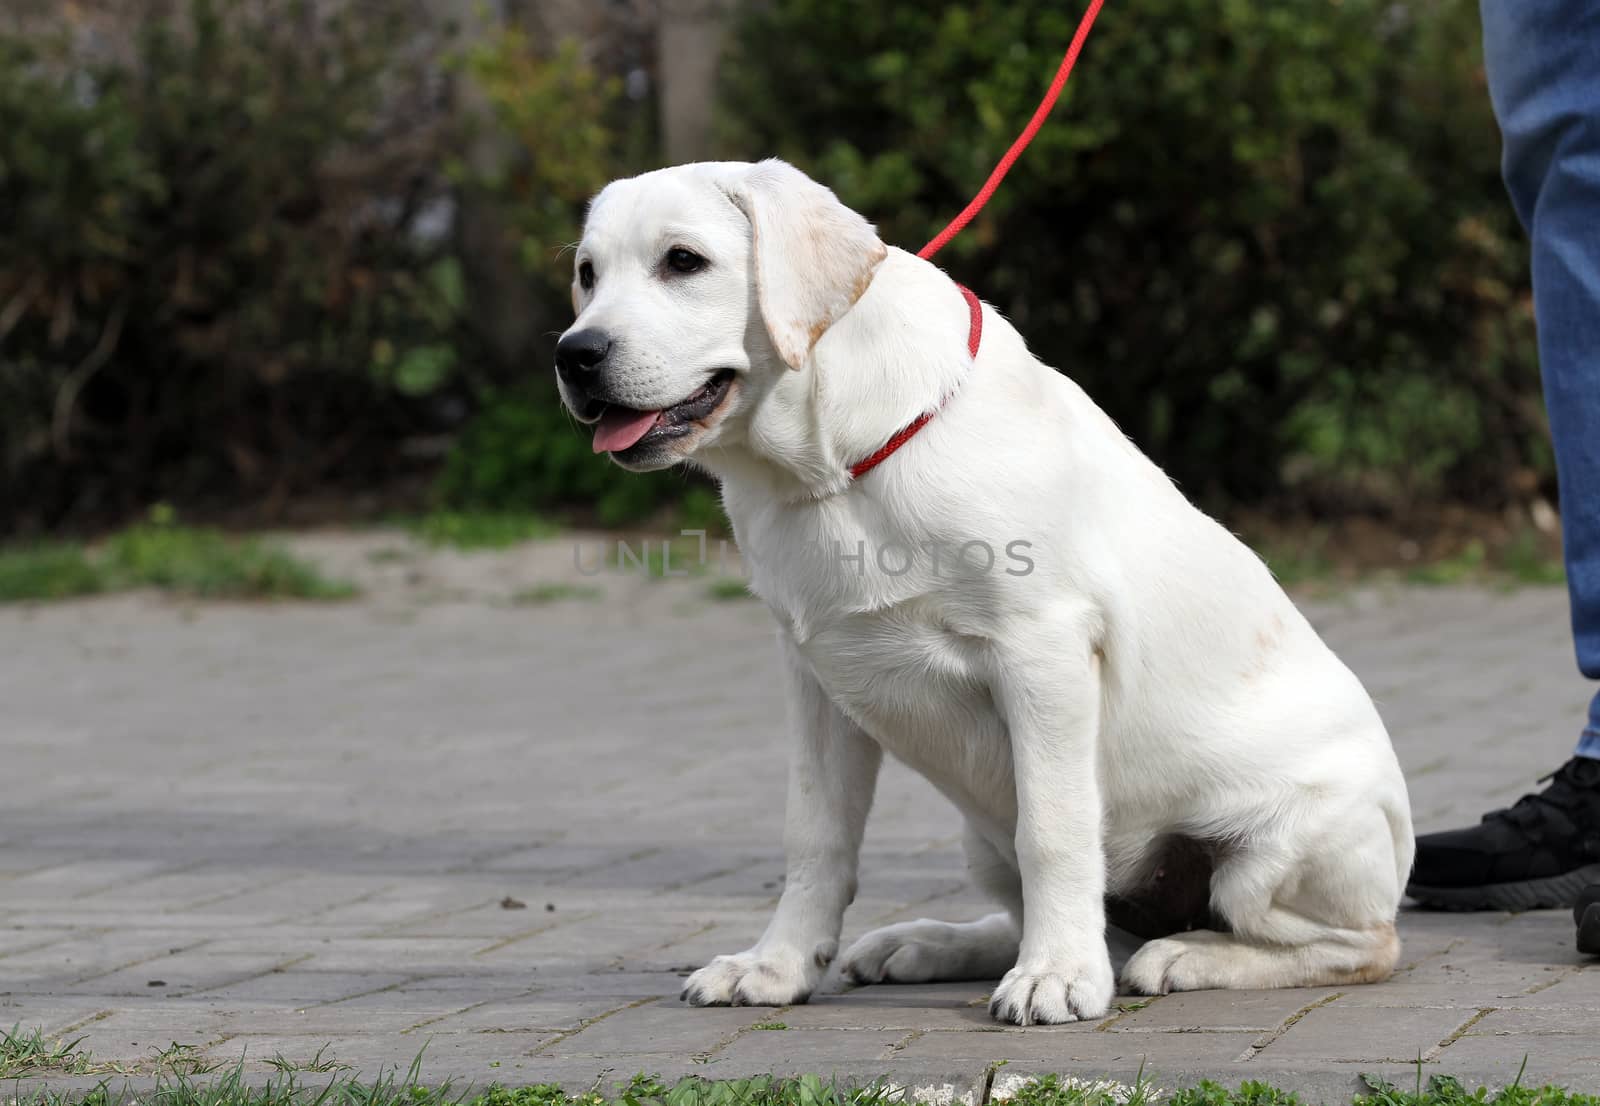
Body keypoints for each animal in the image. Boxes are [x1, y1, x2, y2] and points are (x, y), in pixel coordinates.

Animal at [553, 160, 1414, 1024]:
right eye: (588, 273)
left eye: (683, 261)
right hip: (981, 835)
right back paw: (929, 944)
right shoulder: (814, 676)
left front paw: (1058, 978)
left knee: (1357, 946)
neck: (832, 470)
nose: (575, 355)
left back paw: (1184, 955)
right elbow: (816, 834)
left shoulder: (1043, 652)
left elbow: (1055, 831)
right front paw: (776, 965)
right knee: (1051, 917)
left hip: (1280, 846)